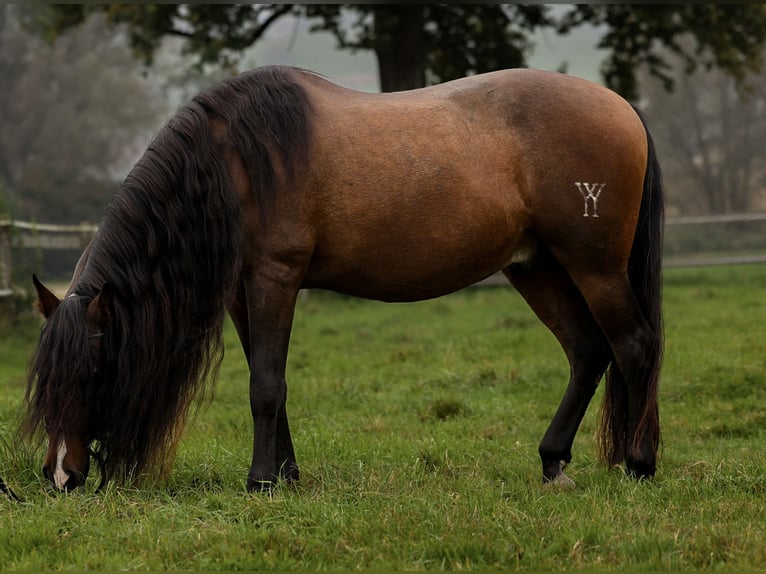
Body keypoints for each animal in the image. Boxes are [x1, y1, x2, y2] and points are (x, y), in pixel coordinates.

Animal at [21, 65, 664, 492]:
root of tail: (623, 107)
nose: (61, 477)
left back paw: (640, 464)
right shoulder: (241, 293)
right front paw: (287, 474)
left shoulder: (275, 279)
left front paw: (261, 481)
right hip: (536, 267)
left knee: (634, 347)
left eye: (94, 369)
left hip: (594, 267)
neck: (235, 162)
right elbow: (268, 379)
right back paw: (553, 461)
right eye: (46, 379)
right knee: (587, 353)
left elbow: (265, 385)